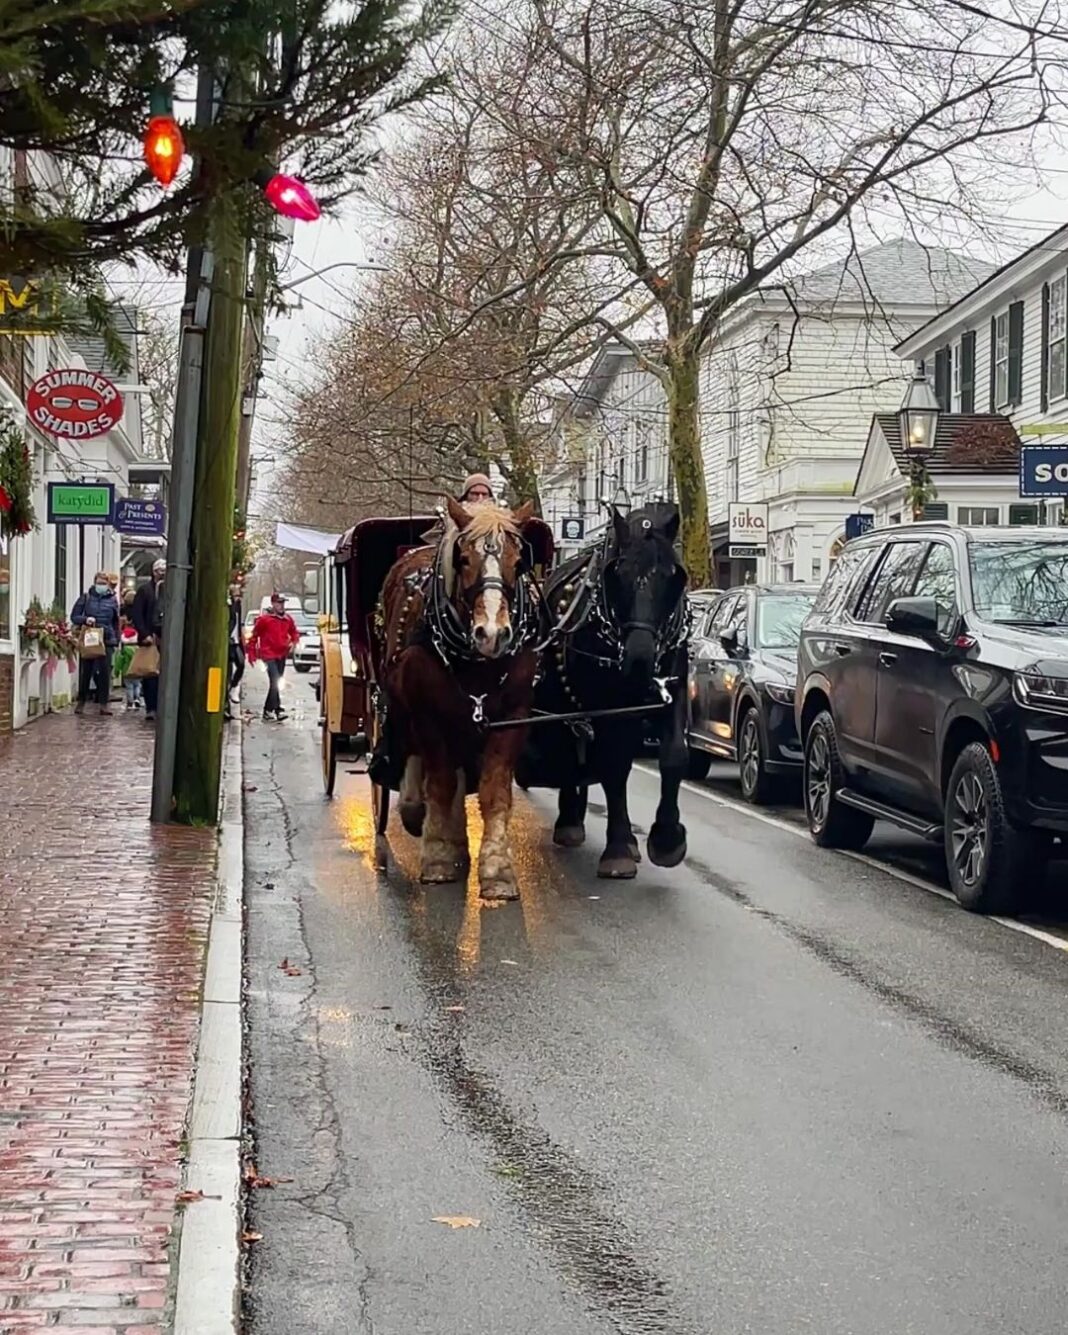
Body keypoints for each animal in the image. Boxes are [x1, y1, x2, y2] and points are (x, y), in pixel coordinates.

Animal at [376, 496, 542, 902]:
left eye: (519, 562)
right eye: (464, 559)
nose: (492, 634)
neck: (477, 662)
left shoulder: (512, 716)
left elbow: (493, 792)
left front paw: (497, 870)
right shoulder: (429, 715)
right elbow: (440, 783)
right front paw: (438, 855)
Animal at [517, 501, 694, 875]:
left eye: (673, 576)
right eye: (618, 574)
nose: (640, 659)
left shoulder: (674, 689)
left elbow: (674, 756)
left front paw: (667, 838)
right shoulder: (609, 705)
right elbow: (615, 766)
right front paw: (620, 848)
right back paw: (570, 820)